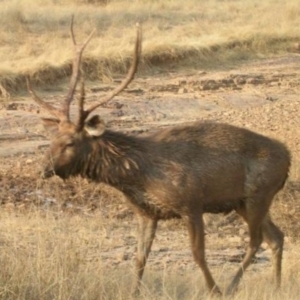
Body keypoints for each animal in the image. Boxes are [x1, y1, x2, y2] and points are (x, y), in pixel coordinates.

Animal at [27, 18, 290, 296]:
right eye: (53, 138)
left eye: (70, 142)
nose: (43, 168)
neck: (137, 176)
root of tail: (288, 158)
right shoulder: (147, 213)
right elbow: (140, 257)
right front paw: (133, 293)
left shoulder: (191, 204)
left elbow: (198, 255)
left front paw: (213, 290)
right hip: (243, 202)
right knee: (276, 237)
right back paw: (276, 287)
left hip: (258, 194)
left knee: (256, 240)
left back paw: (229, 287)